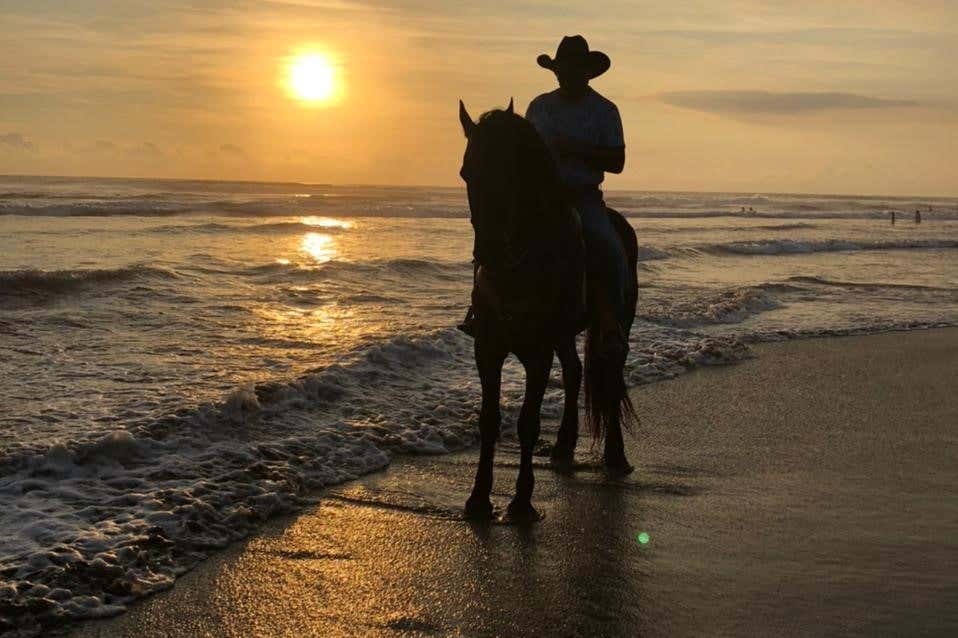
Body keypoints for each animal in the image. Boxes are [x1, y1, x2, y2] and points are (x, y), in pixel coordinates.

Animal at [458, 97, 636, 524]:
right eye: (467, 172)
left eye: (511, 171)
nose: (488, 252)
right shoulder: (487, 348)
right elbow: (489, 420)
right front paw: (478, 499)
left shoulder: (537, 353)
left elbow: (527, 422)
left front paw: (522, 503)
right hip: (563, 334)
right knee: (574, 370)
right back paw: (564, 444)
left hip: (618, 321)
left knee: (612, 366)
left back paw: (615, 454)